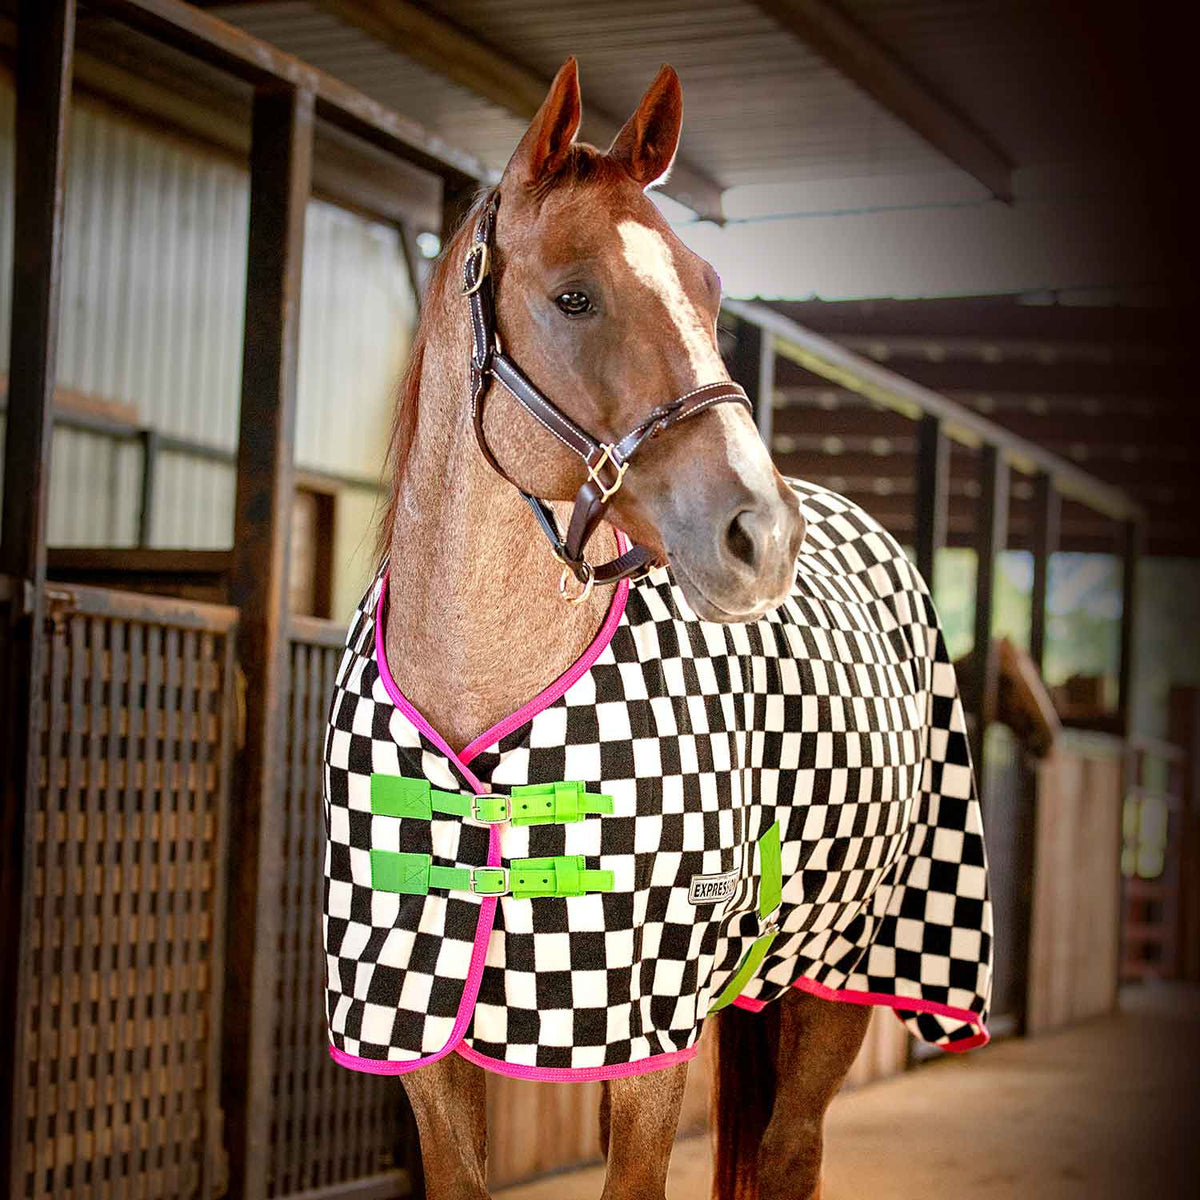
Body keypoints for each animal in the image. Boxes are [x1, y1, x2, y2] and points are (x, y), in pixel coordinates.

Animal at [322, 59, 991, 1200]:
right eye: (574, 296)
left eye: (712, 292)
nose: (761, 534)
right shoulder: (413, 1022)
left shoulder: (645, 1034)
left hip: (848, 969)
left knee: (790, 1150)